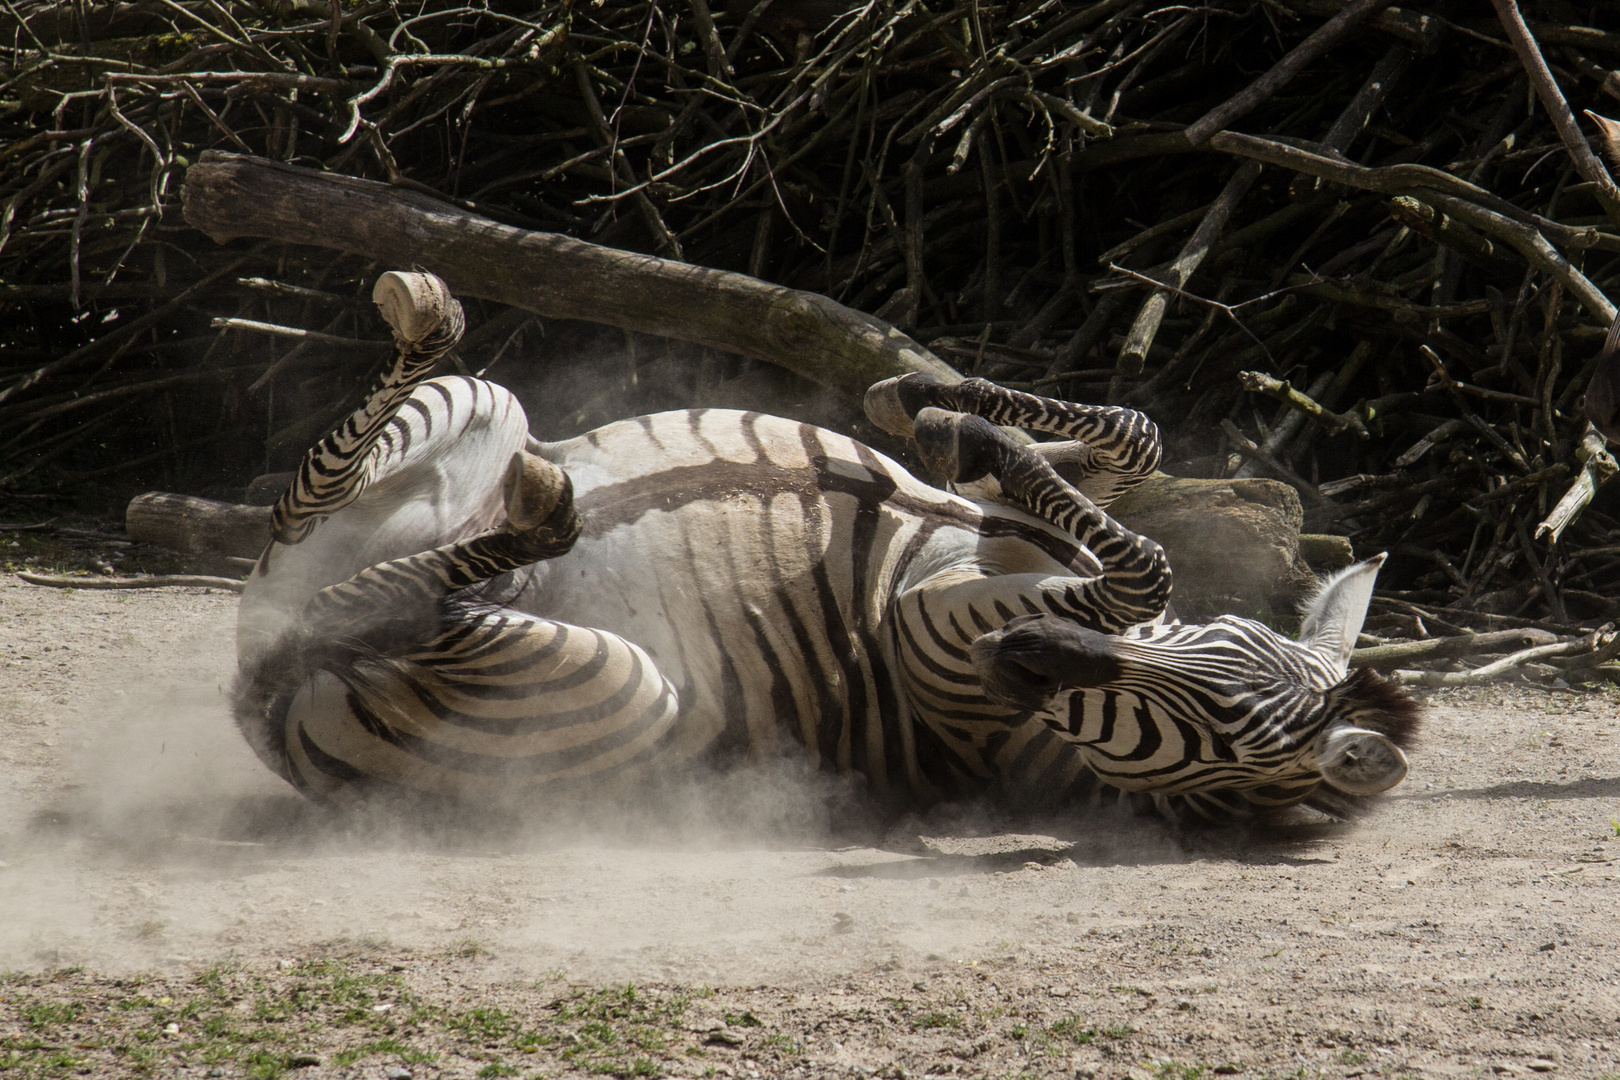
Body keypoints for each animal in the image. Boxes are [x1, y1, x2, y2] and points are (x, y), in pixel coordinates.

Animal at [231, 270, 1419, 819]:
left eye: (1203, 735)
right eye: (1218, 659)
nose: (1022, 658)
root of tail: (258, 712)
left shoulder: (930, 631)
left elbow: (1144, 561)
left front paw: (959, 422)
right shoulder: (1022, 540)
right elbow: (1132, 440)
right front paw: (937, 409)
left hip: (618, 694)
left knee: (357, 611)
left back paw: (536, 518)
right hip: (479, 412)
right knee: (319, 518)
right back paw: (425, 316)